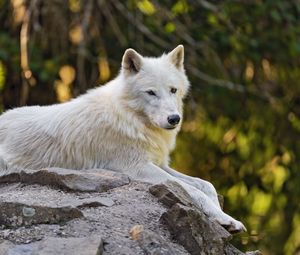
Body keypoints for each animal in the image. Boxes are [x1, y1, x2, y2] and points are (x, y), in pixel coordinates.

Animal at [0, 45, 246, 233]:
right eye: (151, 92)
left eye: (173, 90)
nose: (174, 119)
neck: (132, 118)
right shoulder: (138, 167)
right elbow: (192, 191)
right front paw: (225, 219)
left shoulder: (159, 163)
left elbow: (206, 185)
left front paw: (227, 218)